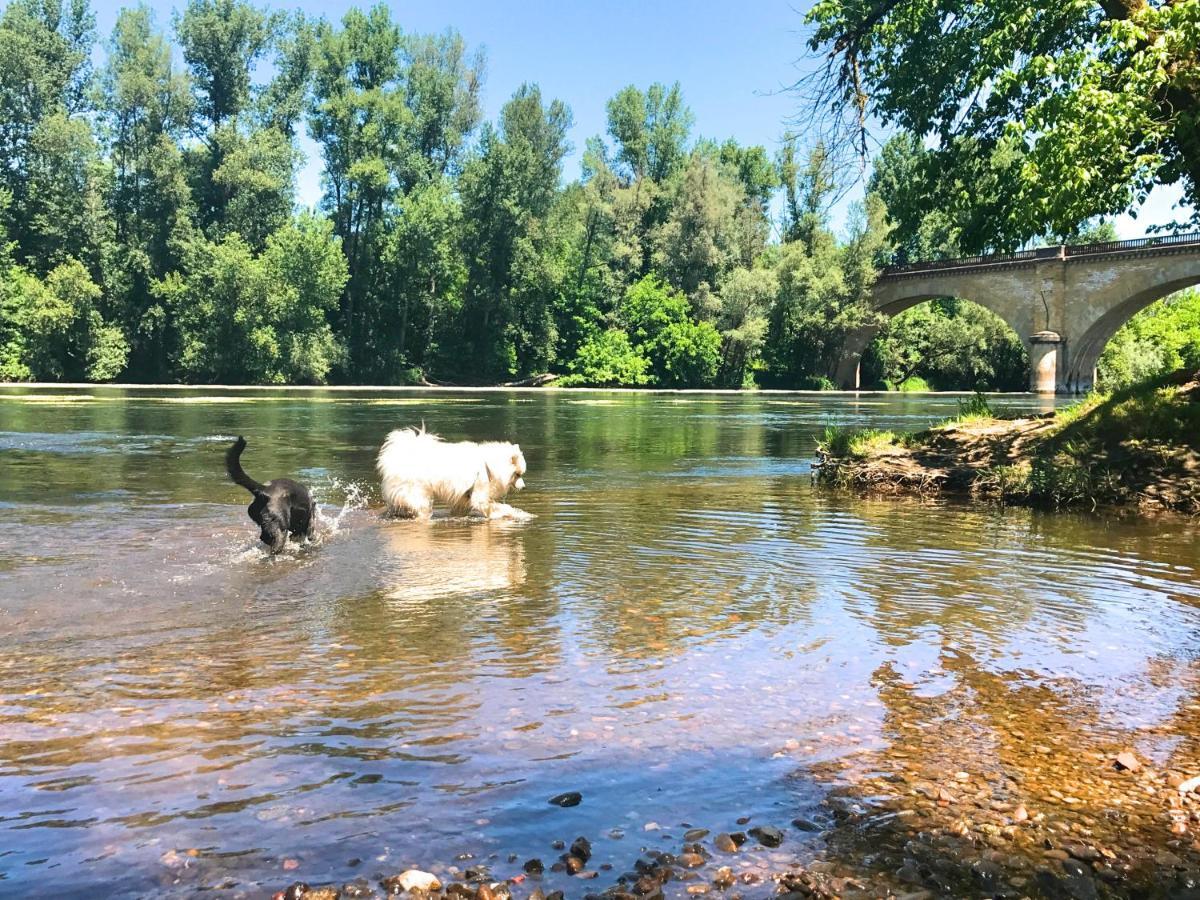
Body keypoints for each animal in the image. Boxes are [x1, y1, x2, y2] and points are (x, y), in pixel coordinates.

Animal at [374, 427, 525, 520]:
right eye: (518, 474)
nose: (524, 487)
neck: (488, 465)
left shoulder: (464, 498)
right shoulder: (480, 489)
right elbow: (495, 506)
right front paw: (513, 513)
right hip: (417, 492)